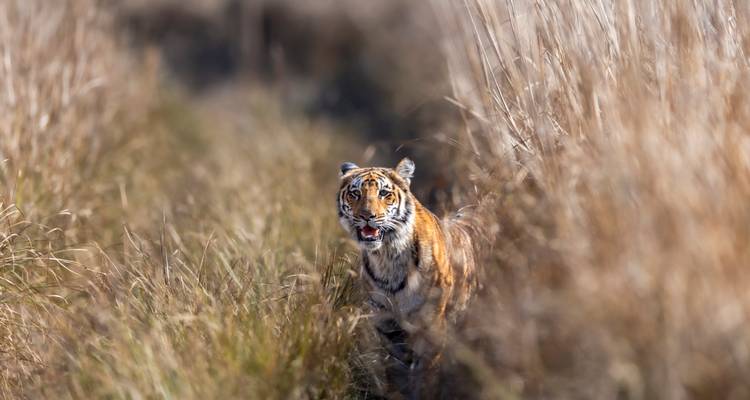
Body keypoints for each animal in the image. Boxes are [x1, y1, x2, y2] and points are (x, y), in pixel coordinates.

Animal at [337, 158, 478, 398]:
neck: (386, 257)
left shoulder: (430, 327)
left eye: (384, 193)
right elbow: (396, 373)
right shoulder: (387, 326)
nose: (366, 216)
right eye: (355, 193)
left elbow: (425, 374)